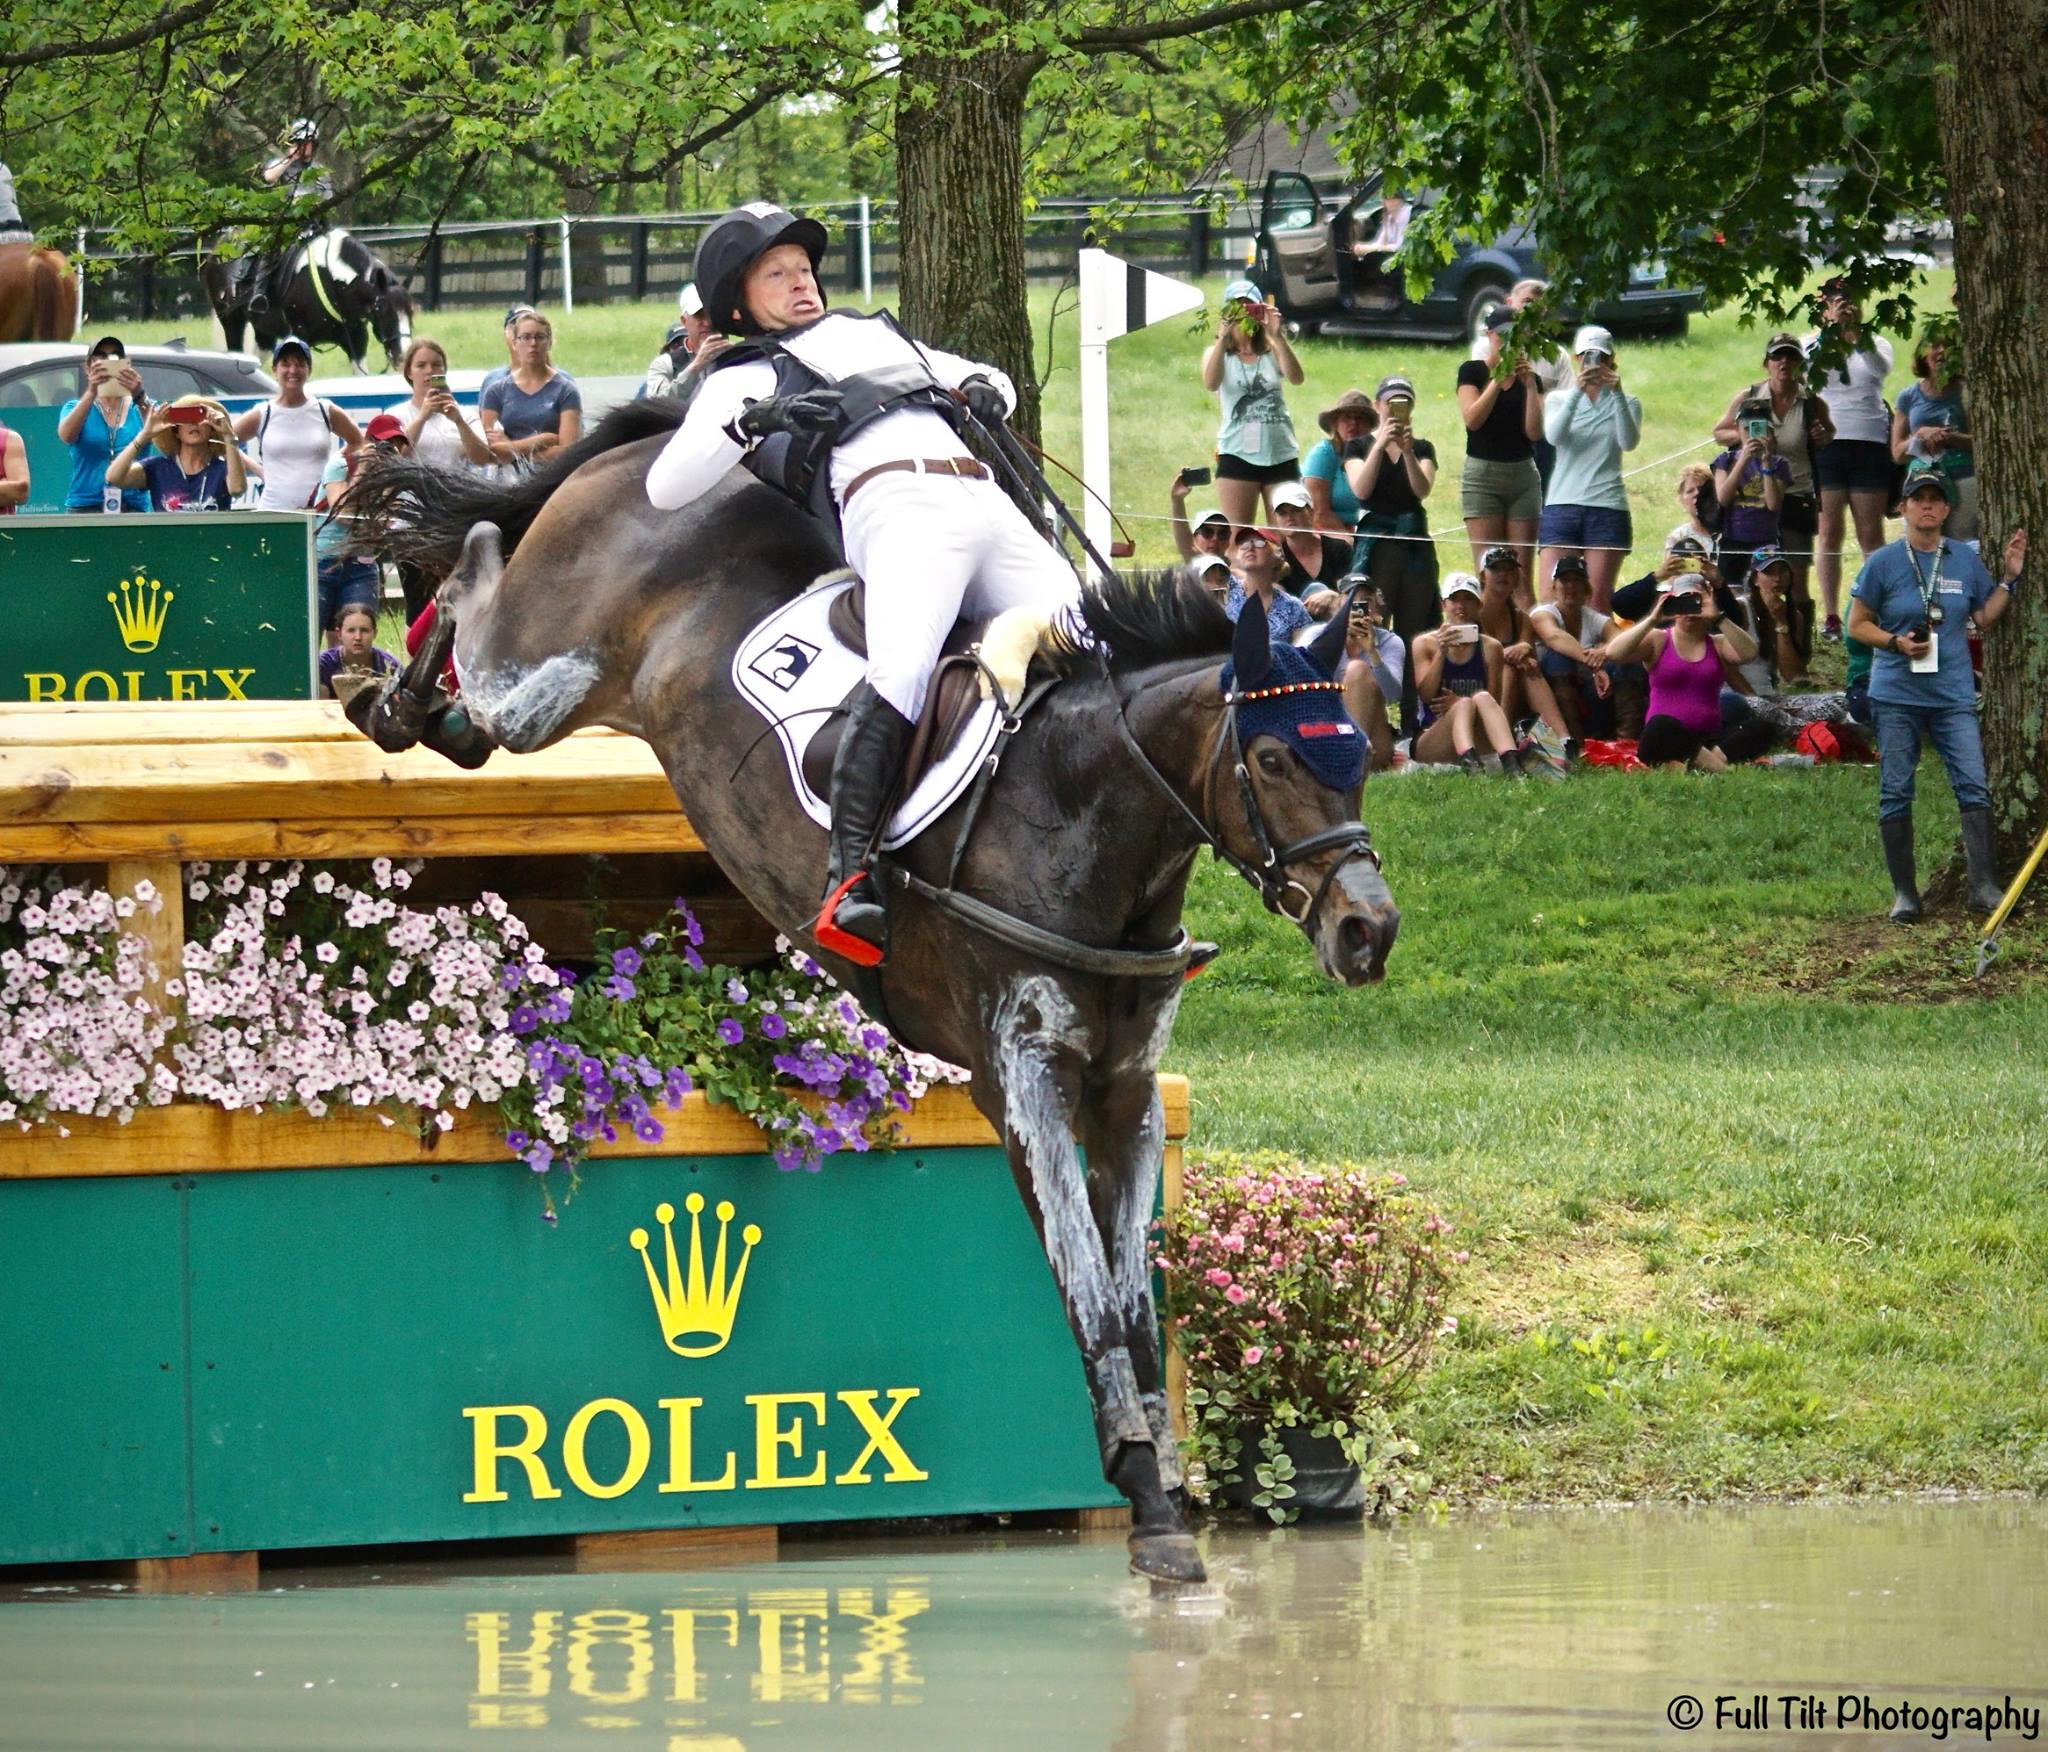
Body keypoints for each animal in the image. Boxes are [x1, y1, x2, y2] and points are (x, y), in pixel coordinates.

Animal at [200, 229, 411, 372]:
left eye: (410, 313)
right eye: (383, 312)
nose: (404, 356)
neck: (331, 279)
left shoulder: (357, 341)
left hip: (264, 333)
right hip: (232, 324)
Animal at [348, 403, 1409, 1581]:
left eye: (1360, 750)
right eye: (1271, 759)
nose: (1367, 931)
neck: (1077, 813)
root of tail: (643, 443)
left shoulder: (1128, 1095)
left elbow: (1134, 1301)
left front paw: (1162, 1491)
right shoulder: (1024, 1079)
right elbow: (1089, 1293)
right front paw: (1148, 1501)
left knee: (473, 704)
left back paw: (413, 706)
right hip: (546, 669)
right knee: (480, 589)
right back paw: (391, 676)